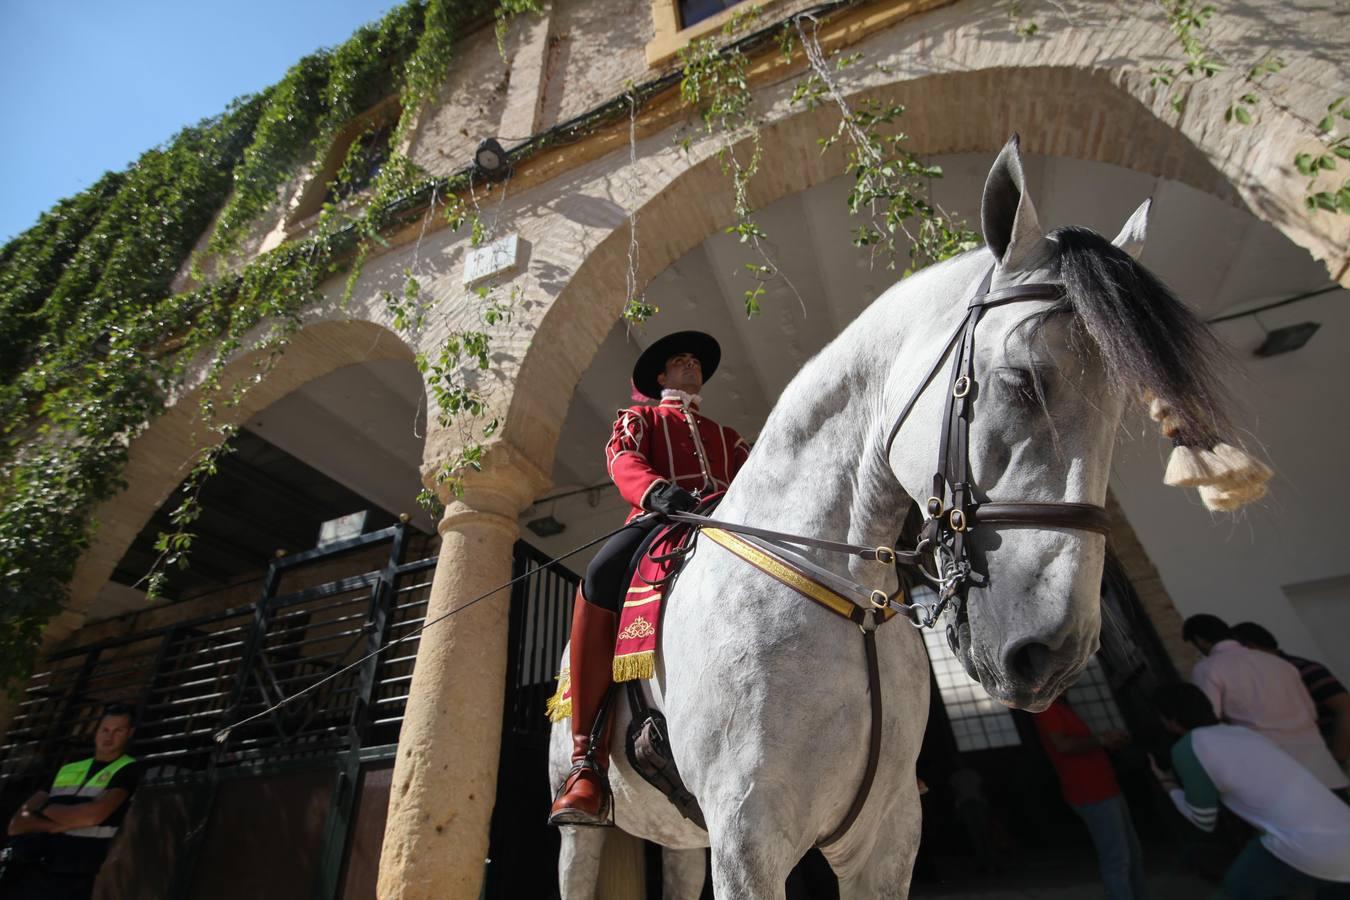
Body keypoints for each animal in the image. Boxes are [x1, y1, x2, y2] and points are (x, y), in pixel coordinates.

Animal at [548, 137, 1236, 895]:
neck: (850, 603)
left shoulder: (886, 835)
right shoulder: (748, 842)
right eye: (1022, 381)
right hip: (588, 832)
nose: (1055, 654)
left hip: (684, 838)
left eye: (1121, 412)